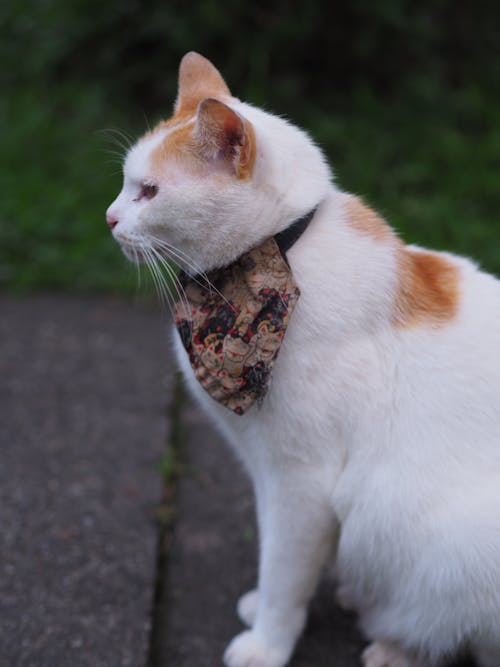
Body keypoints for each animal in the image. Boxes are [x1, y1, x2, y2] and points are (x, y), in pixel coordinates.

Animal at [105, 51, 500, 667]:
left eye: (148, 191)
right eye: (127, 185)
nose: (109, 218)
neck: (273, 257)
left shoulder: (302, 480)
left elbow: (285, 569)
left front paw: (267, 643)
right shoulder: (265, 469)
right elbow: (274, 553)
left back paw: (395, 646)